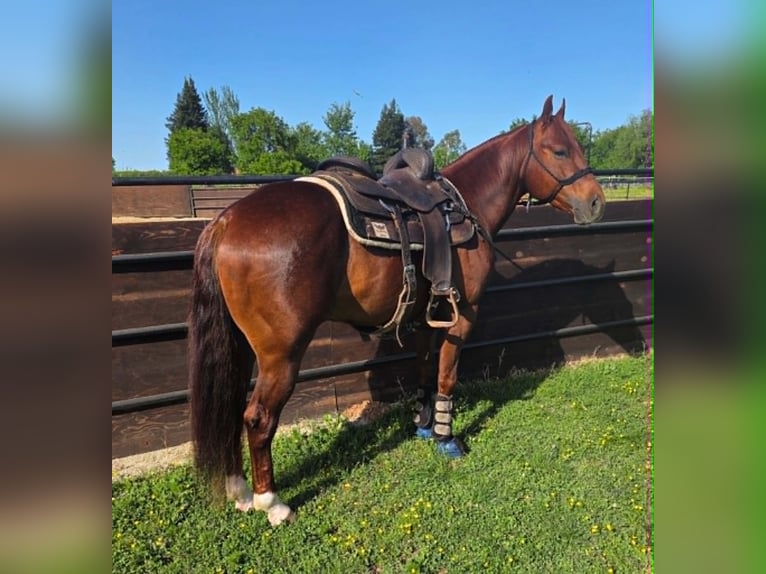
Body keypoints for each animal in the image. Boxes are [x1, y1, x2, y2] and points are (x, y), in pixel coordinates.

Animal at [188, 95, 606, 525]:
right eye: (559, 150)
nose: (596, 202)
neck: (464, 206)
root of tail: (226, 220)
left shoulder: (425, 318)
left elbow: (423, 369)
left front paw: (423, 425)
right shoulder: (464, 316)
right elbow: (447, 376)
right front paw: (446, 438)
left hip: (239, 347)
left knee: (230, 409)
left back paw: (239, 490)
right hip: (280, 353)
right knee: (257, 418)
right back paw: (270, 502)